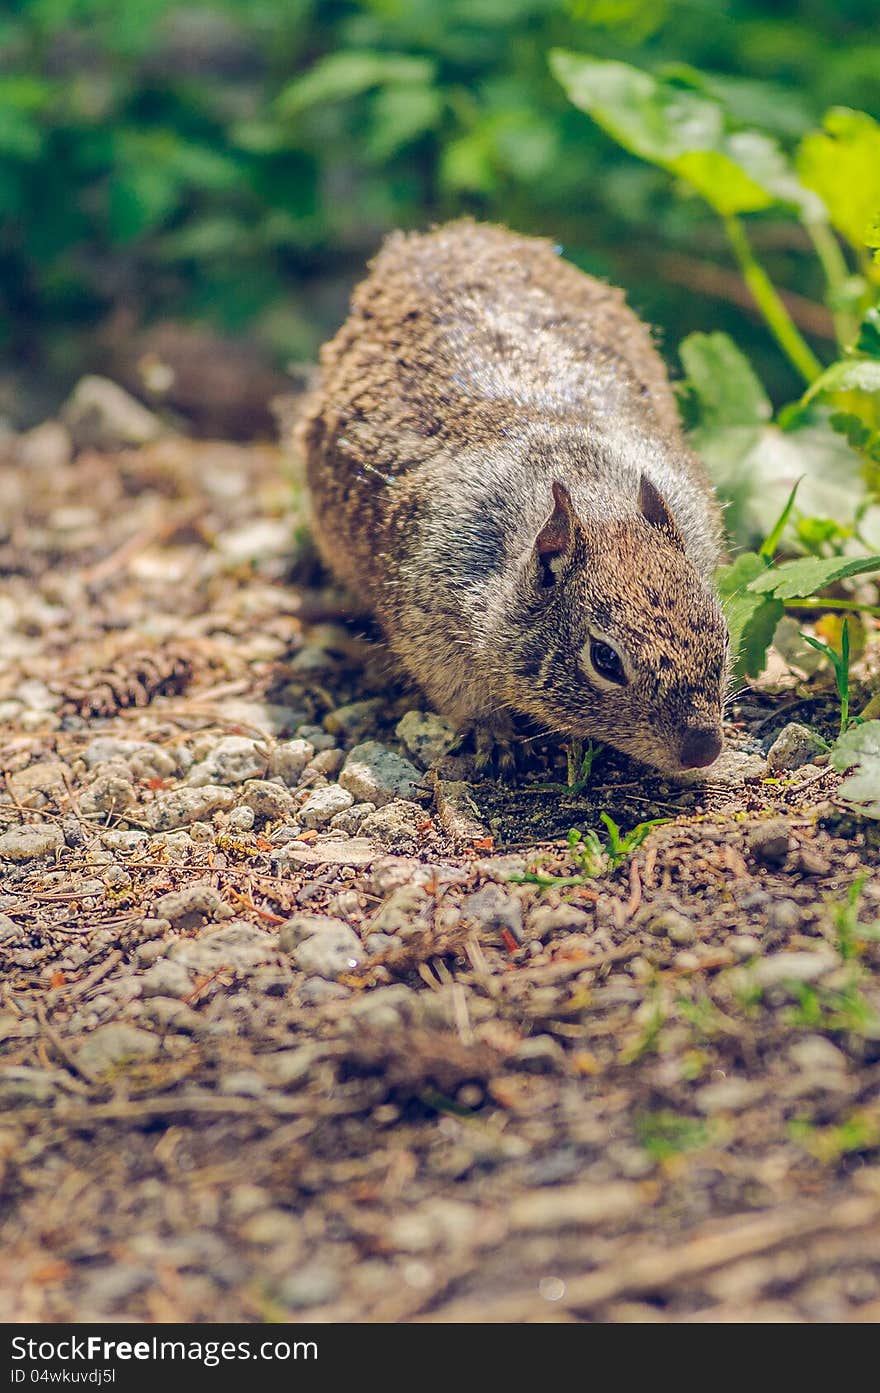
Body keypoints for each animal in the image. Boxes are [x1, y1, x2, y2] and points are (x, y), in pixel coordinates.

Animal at [299, 222, 729, 780]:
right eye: (605, 659)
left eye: (721, 632)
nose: (704, 749)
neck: (597, 501)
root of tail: (443, 237)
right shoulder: (432, 632)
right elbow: (466, 698)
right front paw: (497, 739)